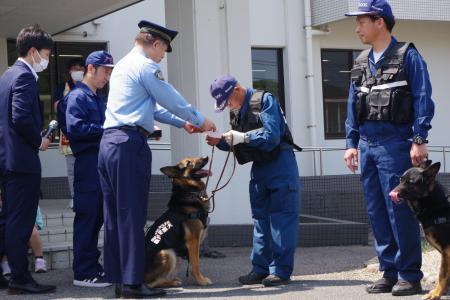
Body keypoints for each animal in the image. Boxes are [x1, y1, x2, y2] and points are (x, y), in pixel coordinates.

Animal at [145, 156, 214, 288]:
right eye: (189, 163)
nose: (206, 157)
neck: (190, 192)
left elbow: (193, 263)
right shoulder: (194, 241)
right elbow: (195, 265)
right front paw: (201, 280)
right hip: (168, 252)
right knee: (151, 283)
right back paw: (171, 282)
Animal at [390, 161, 450, 298]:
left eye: (411, 182)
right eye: (401, 180)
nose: (391, 193)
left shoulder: (447, 249)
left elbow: (442, 274)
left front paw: (436, 294)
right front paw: (441, 292)